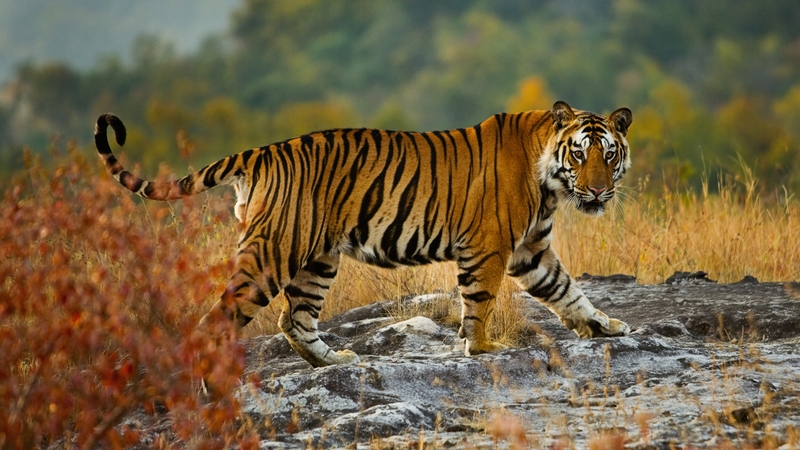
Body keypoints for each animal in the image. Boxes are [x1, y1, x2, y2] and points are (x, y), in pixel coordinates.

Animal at [94, 101, 633, 367]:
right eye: (579, 154)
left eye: (609, 155)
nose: (598, 191)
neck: (550, 182)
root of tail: (262, 152)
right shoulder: (489, 247)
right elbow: (479, 302)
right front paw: (481, 349)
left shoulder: (530, 250)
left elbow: (567, 290)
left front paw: (604, 326)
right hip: (273, 254)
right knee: (218, 320)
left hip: (316, 259)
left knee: (295, 319)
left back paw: (334, 361)